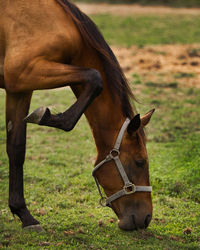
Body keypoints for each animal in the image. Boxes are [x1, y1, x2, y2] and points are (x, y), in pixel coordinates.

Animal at [0, 0, 155, 231]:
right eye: (140, 162)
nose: (146, 219)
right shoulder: (23, 72)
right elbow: (95, 77)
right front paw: (47, 116)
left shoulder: (19, 88)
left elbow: (16, 149)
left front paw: (24, 215)